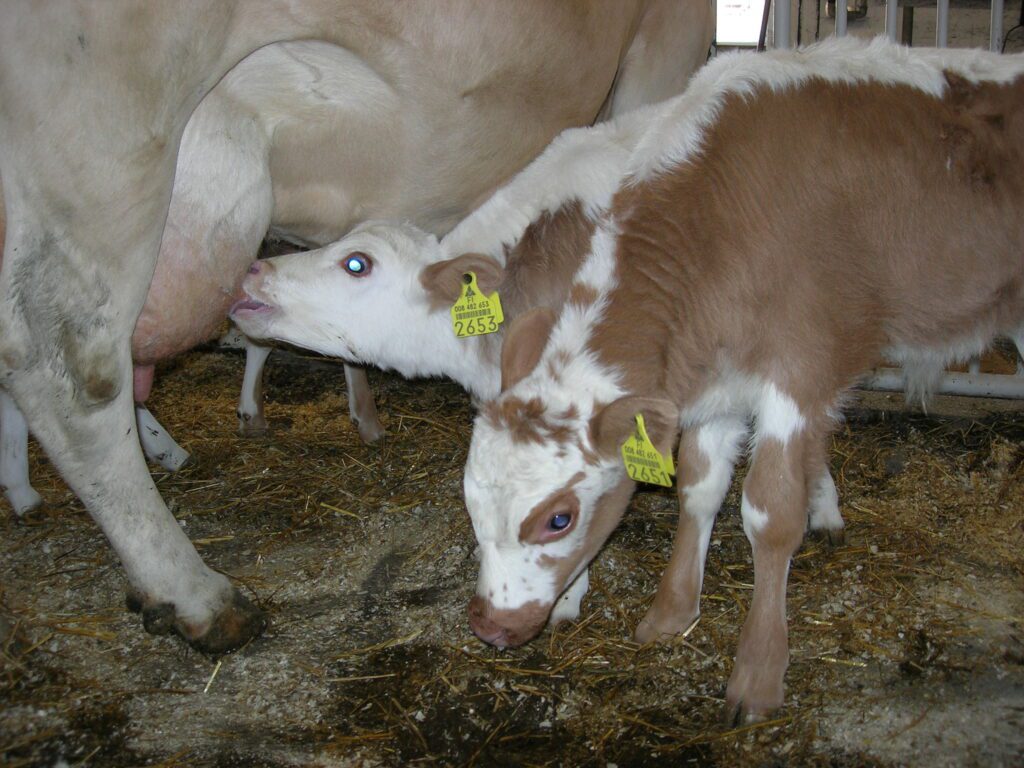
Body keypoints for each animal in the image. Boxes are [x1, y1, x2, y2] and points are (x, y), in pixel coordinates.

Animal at [458, 39, 1024, 729]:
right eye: (469, 500)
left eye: (558, 520)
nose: (488, 628)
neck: (716, 219)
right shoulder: (717, 382)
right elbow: (698, 490)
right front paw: (672, 612)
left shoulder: (798, 368)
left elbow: (770, 515)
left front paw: (758, 672)